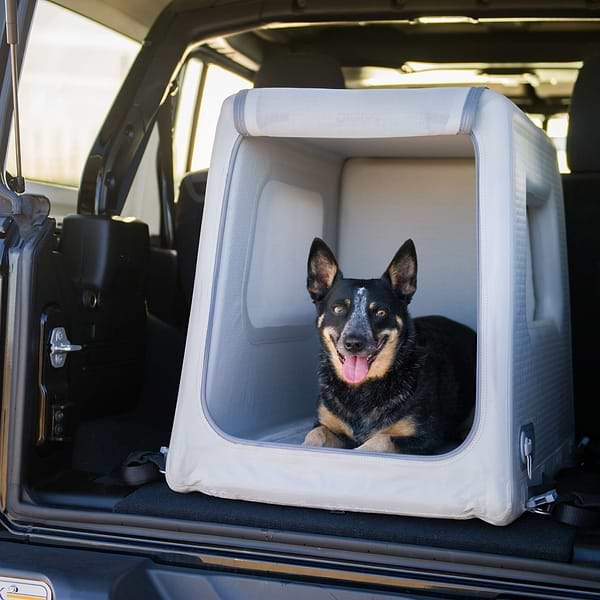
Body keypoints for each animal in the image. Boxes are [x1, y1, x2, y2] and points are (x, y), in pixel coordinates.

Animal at [302, 239, 476, 454]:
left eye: (381, 312)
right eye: (338, 309)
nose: (354, 343)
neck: (361, 391)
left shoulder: (424, 437)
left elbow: (380, 440)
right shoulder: (327, 425)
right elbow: (315, 435)